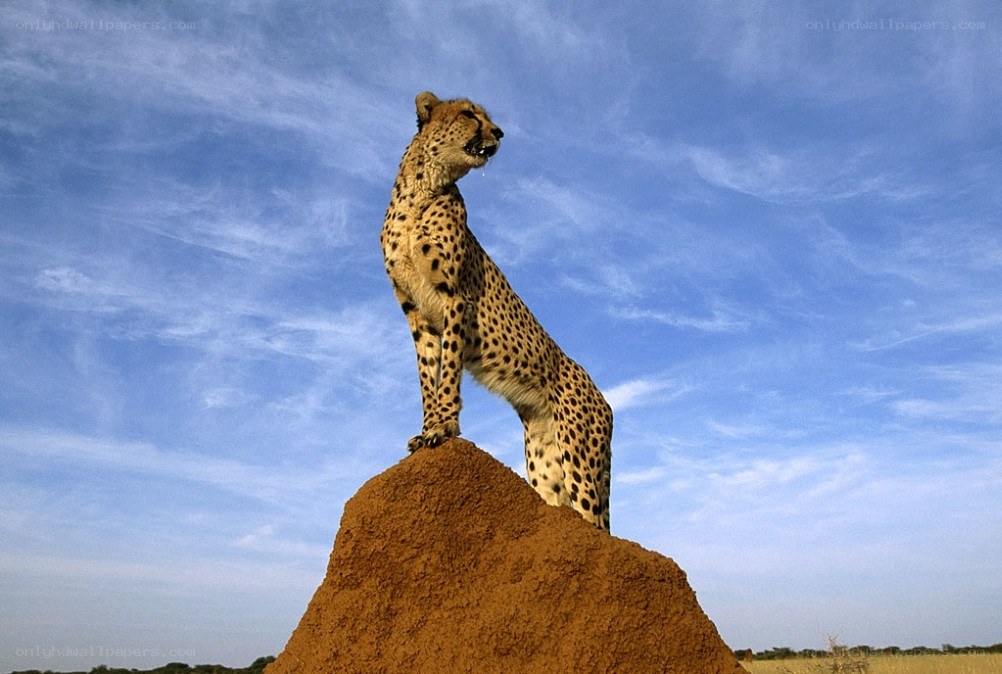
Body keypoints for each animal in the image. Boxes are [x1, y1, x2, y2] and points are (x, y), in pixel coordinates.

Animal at [380, 91, 613, 531]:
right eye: (470, 115)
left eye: (486, 117)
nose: (500, 132)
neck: (423, 189)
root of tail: (603, 398)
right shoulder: (415, 313)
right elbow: (427, 376)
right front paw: (426, 429)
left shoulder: (455, 297)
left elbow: (449, 372)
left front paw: (444, 426)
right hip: (545, 464)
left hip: (580, 461)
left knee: (598, 525)